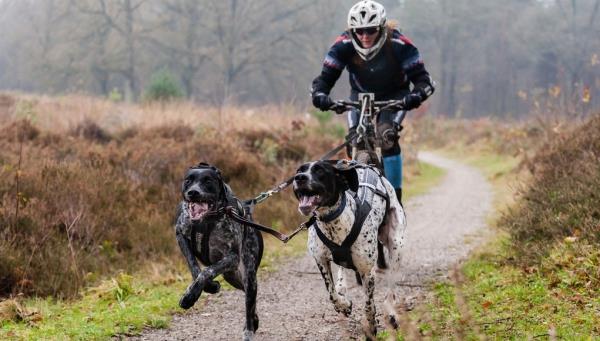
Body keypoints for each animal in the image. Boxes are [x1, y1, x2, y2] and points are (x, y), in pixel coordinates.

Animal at [176, 163, 264, 340]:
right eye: (188, 180)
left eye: (208, 181)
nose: (193, 192)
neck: (206, 220)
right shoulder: (180, 235)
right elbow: (194, 268)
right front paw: (207, 287)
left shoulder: (232, 257)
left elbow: (207, 271)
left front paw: (190, 297)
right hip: (233, 278)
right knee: (251, 304)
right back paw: (255, 320)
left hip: (249, 277)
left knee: (249, 304)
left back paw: (249, 330)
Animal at [292, 159, 406, 338]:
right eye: (299, 170)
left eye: (320, 170)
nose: (299, 177)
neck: (332, 222)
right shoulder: (321, 260)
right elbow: (331, 293)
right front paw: (343, 304)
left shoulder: (367, 271)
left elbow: (368, 305)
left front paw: (371, 326)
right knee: (341, 271)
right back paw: (341, 286)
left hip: (396, 244)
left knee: (391, 285)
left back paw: (390, 311)